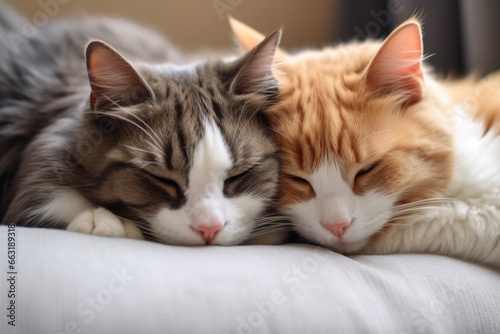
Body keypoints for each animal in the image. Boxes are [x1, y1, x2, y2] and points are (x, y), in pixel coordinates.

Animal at [0, 7, 286, 245]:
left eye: (239, 175)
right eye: (161, 178)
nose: (209, 229)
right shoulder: (41, 158)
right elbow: (51, 199)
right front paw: (102, 219)